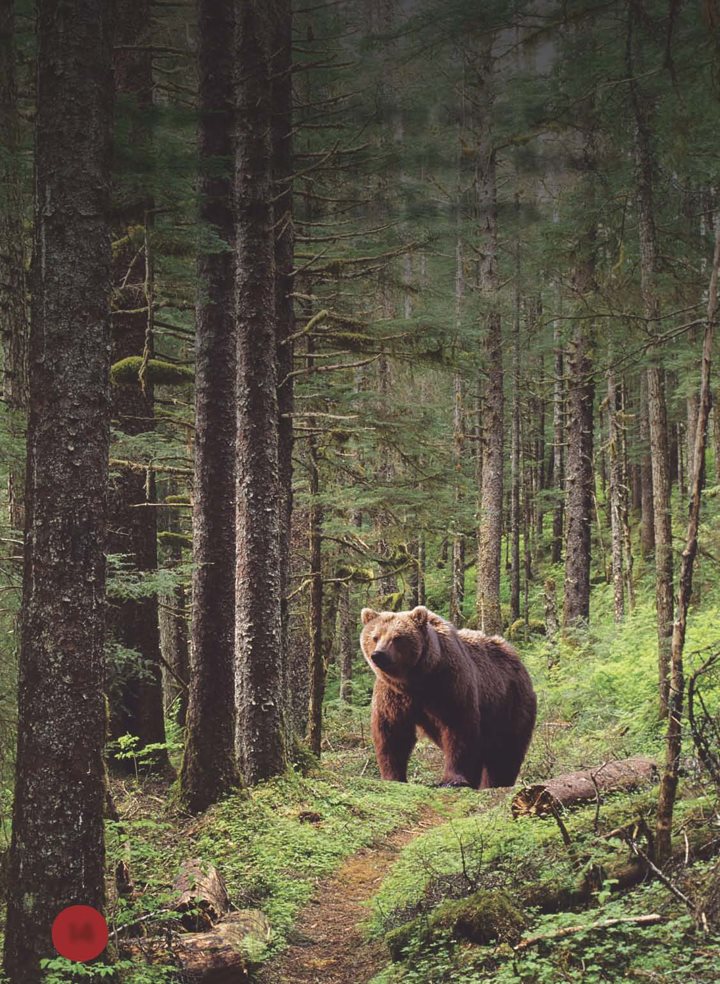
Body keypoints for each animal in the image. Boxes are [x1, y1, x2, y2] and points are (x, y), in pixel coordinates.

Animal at [358, 604, 536, 788]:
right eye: (375, 637)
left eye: (397, 637)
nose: (378, 655)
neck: (415, 680)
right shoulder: (393, 695)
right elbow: (392, 732)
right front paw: (393, 776)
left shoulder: (448, 685)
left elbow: (458, 727)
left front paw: (453, 779)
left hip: (509, 703)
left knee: (505, 751)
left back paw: (497, 782)